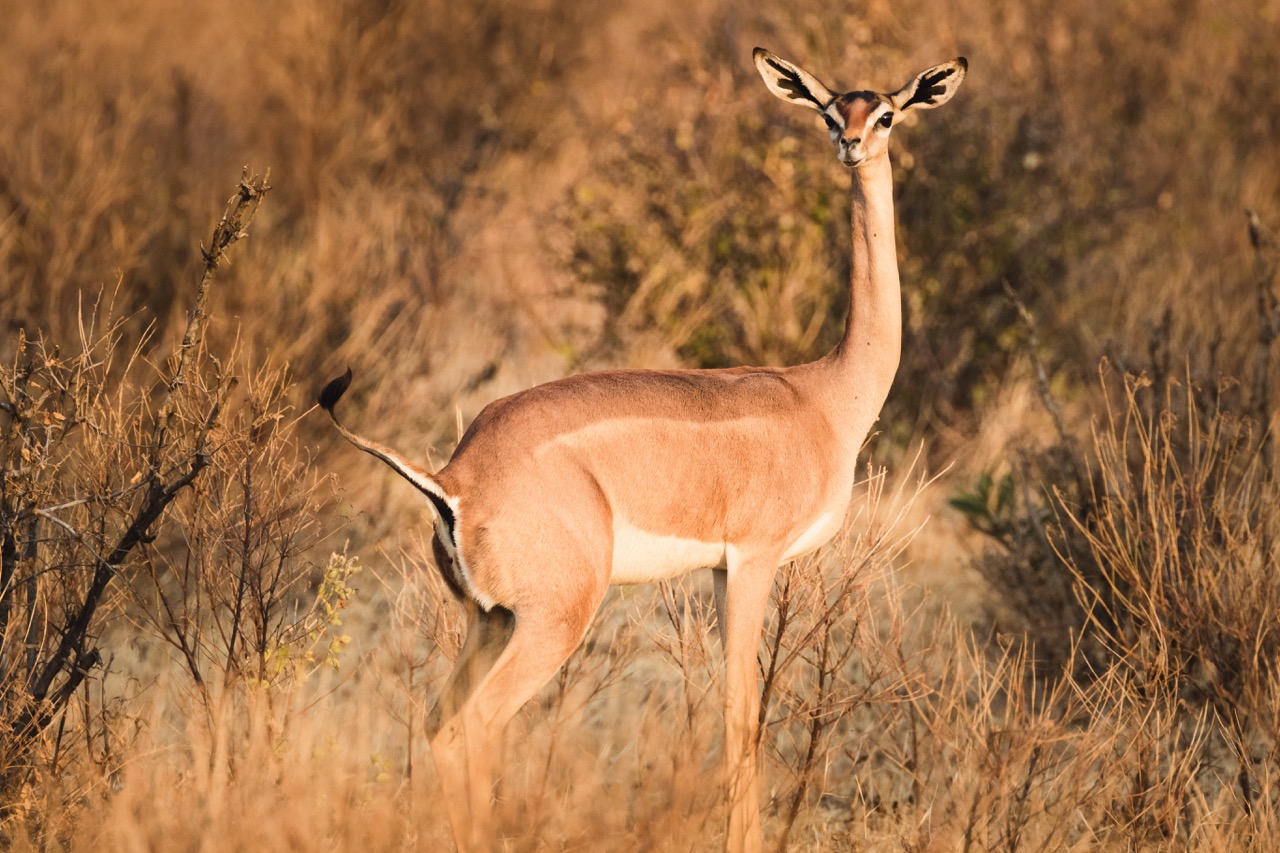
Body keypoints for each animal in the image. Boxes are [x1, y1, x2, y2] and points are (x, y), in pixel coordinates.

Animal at [319, 47, 966, 853]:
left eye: (885, 114)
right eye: (828, 111)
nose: (849, 144)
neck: (823, 396)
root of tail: (453, 477)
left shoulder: (720, 570)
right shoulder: (754, 561)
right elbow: (742, 718)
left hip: (490, 621)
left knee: (438, 726)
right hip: (553, 622)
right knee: (475, 728)